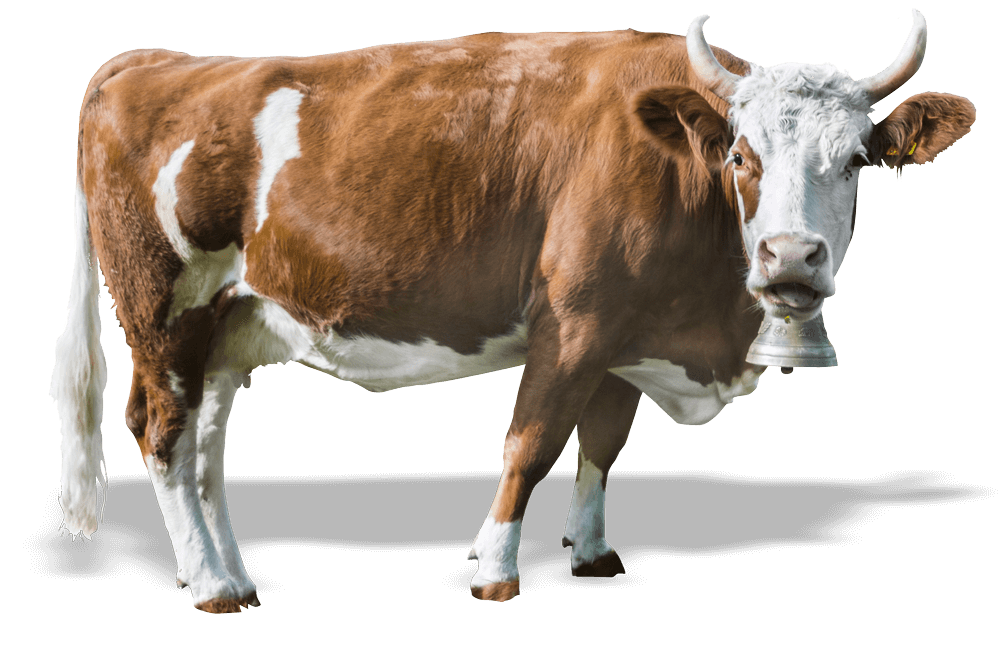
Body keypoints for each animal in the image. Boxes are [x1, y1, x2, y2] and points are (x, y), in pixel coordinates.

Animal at [50, 10, 974, 612]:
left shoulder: (627, 334)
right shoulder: (574, 319)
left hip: (226, 326)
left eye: (855, 160)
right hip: (164, 311)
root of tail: (155, 60)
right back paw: (211, 584)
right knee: (161, 430)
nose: (790, 258)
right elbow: (531, 441)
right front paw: (495, 566)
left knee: (204, 445)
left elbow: (602, 441)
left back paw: (224, 569)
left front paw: (593, 551)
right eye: (741, 156)